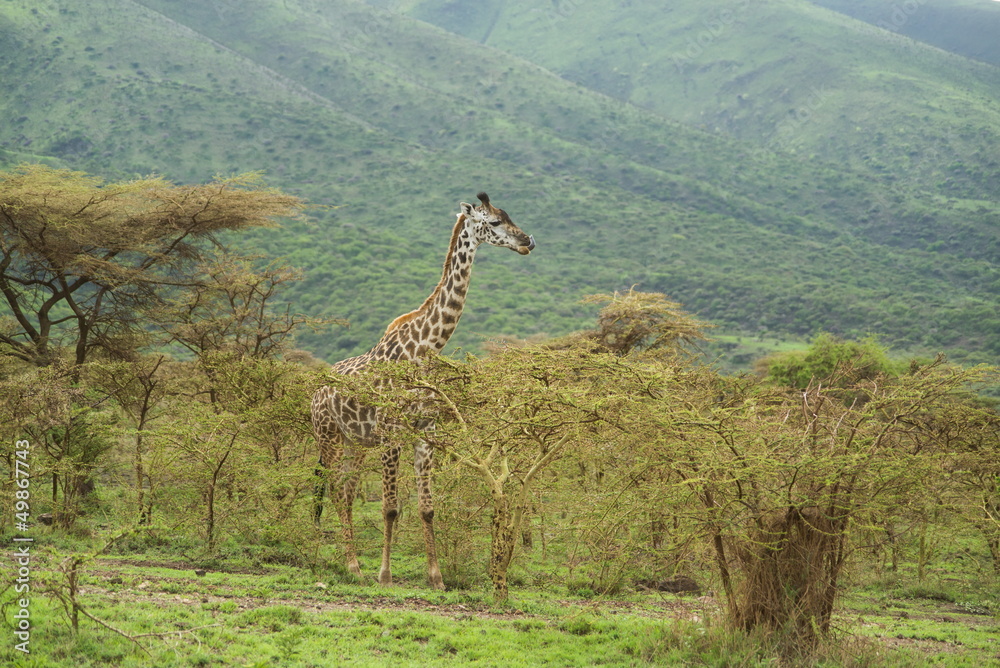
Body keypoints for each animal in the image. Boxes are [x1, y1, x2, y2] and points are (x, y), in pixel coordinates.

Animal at [311, 192, 535, 589]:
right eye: (493, 222)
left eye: (509, 216)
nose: (528, 241)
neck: (426, 348)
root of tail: (317, 389)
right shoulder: (391, 432)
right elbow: (390, 508)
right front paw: (385, 575)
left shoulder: (425, 432)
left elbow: (427, 509)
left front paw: (437, 578)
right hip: (328, 435)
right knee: (336, 492)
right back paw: (352, 566)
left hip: (355, 441)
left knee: (347, 493)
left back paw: (353, 566)